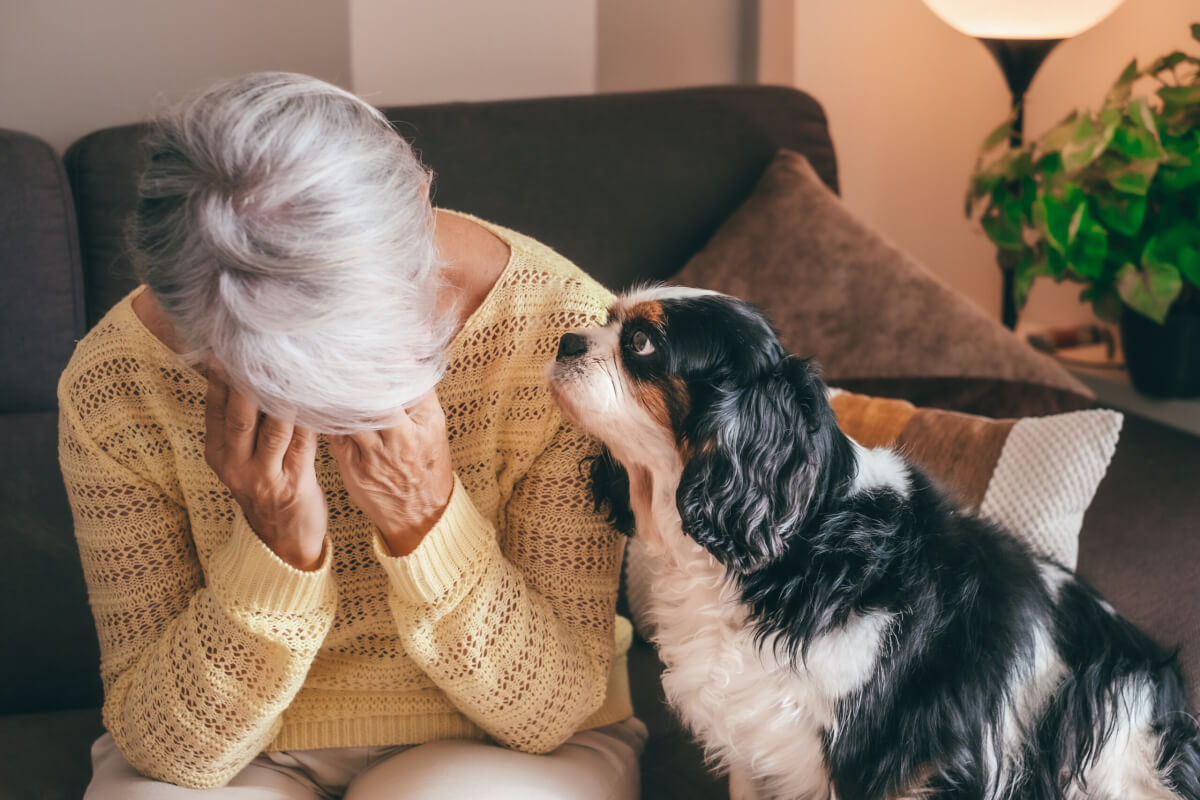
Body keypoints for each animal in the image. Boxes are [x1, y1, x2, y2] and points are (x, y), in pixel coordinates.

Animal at [549, 287, 1200, 800]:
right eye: (606, 320)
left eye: (641, 343)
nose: (565, 341)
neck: (782, 551)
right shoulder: (755, 745)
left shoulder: (881, 751)